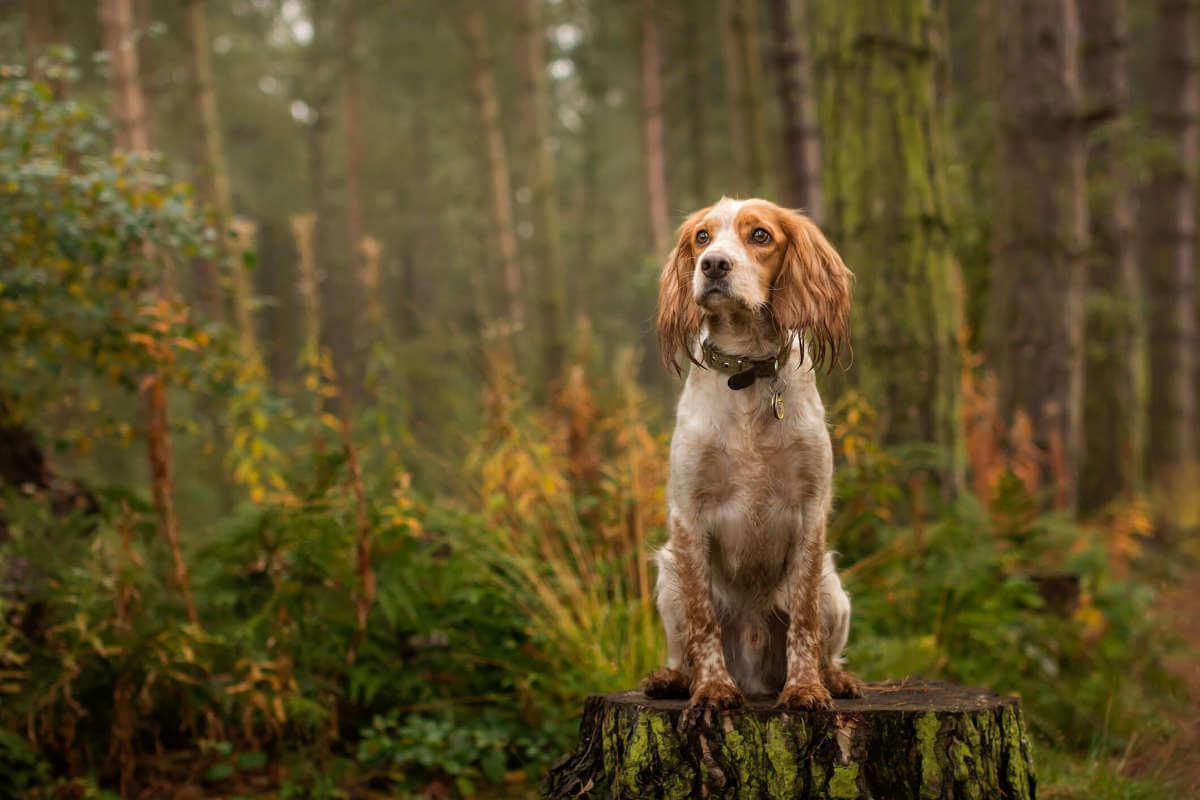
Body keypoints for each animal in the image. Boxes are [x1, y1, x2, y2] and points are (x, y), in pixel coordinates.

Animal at [643, 196, 859, 729]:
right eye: (701, 237)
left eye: (760, 235)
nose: (712, 265)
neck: (745, 372)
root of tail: (757, 676)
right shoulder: (687, 514)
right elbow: (703, 624)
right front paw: (712, 690)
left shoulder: (810, 510)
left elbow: (803, 619)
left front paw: (806, 690)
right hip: (667, 575)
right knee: (683, 648)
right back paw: (674, 678)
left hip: (835, 589)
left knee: (827, 646)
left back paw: (835, 678)